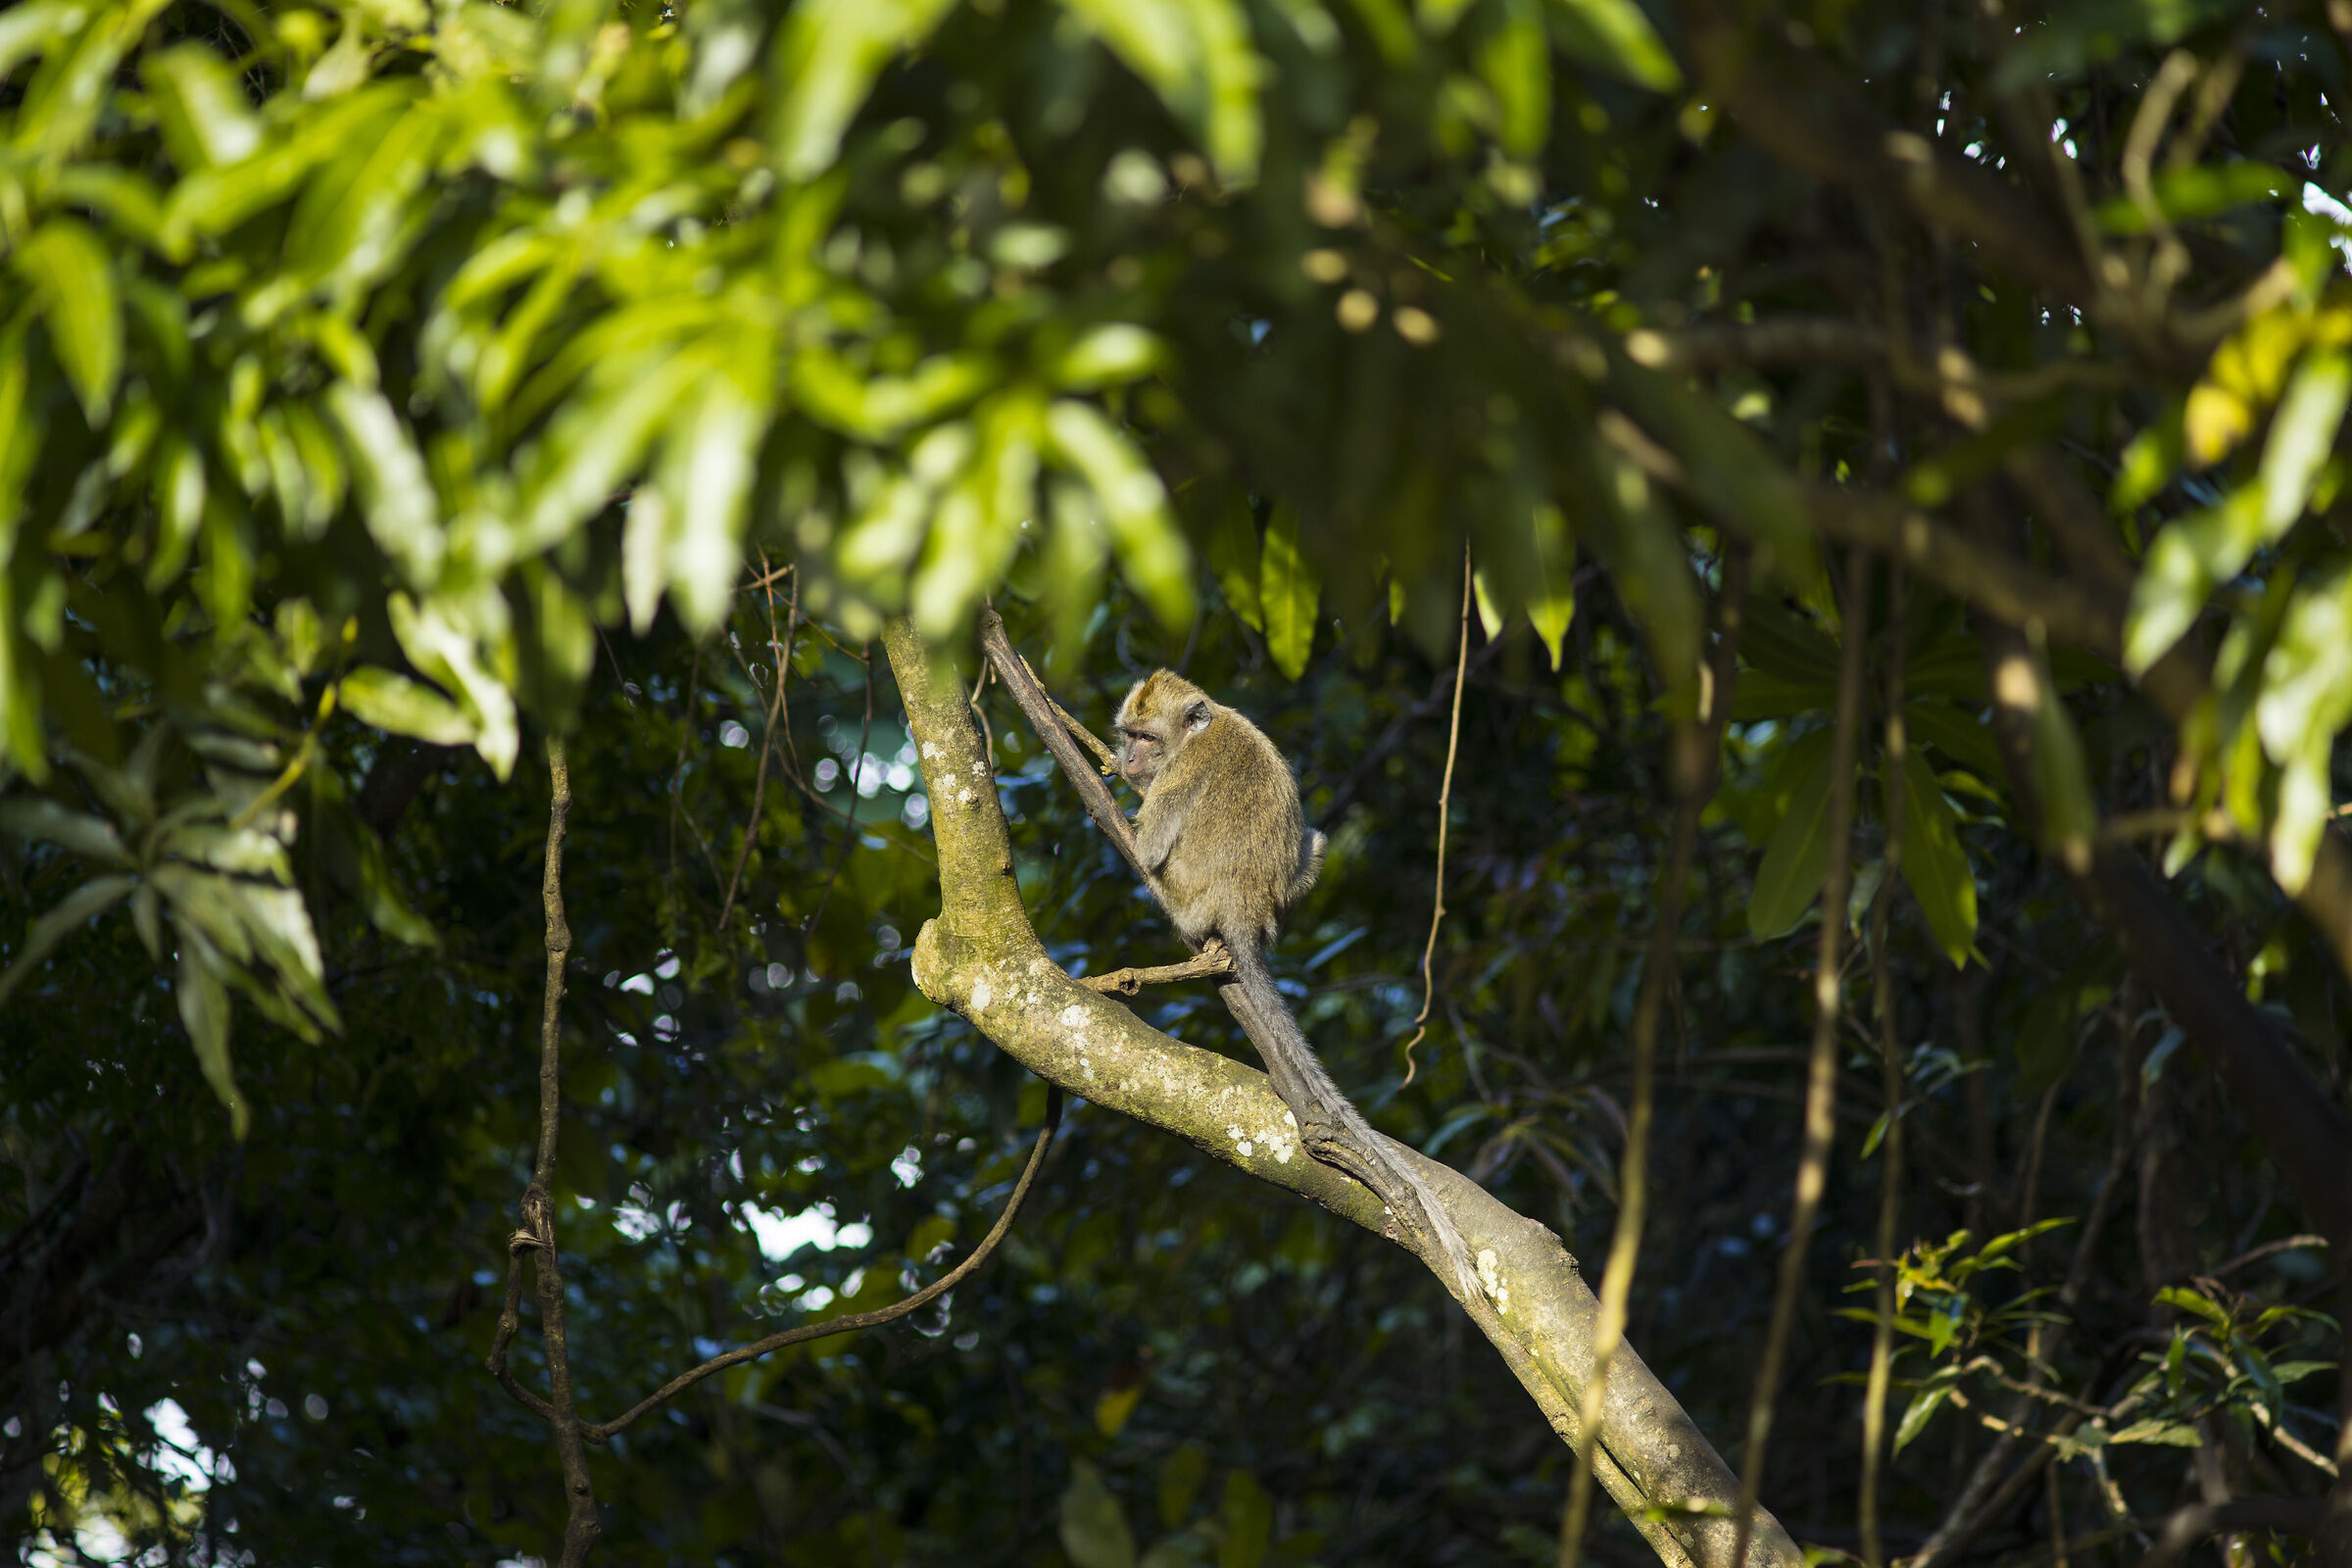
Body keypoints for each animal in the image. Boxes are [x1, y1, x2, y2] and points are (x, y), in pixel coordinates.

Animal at [1113, 669, 1484, 1307]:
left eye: (1146, 737)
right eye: (1128, 733)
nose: (1128, 757)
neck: (1199, 730)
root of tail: (1241, 908)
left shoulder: (1179, 775)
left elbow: (1150, 846)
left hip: (1184, 899)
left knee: (1159, 867)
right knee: (1319, 839)